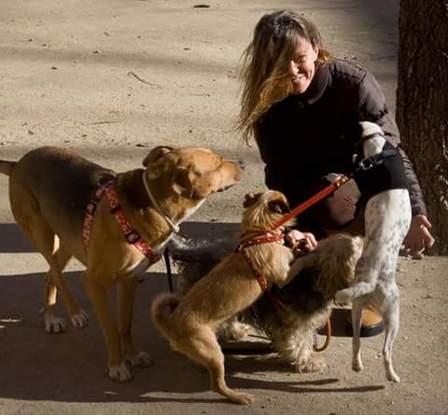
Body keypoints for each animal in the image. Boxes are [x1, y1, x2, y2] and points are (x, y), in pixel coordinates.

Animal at [0, 145, 242, 382]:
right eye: (218, 163)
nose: (242, 163)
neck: (150, 204)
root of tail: (18, 163)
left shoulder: (129, 280)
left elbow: (125, 325)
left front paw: (132, 356)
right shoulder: (94, 283)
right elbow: (111, 330)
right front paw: (117, 365)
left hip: (69, 240)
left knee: (50, 274)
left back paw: (51, 317)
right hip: (42, 235)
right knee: (57, 274)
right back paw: (74, 313)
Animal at [152, 192, 294, 406]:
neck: (258, 234)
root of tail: (171, 323)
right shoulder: (283, 275)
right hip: (214, 353)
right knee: (217, 385)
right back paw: (238, 396)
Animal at [334, 122, 412, 386]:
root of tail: (371, 281)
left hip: (357, 308)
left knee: (356, 340)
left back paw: (357, 365)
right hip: (394, 316)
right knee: (386, 350)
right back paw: (392, 375)